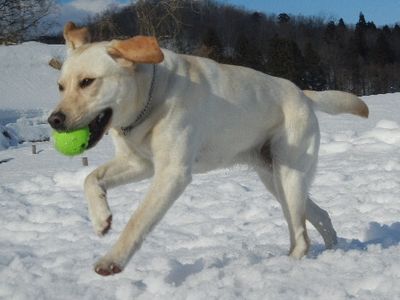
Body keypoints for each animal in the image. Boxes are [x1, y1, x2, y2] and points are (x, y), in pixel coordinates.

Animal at [47, 22, 368, 276]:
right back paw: (331, 248)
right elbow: (91, 178)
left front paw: (112, 260)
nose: (54, 120)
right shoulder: (138, 163)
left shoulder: (172, 173)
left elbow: (138, 221)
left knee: (301, 236)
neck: (151, 97)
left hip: (289, 176)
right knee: (319, 215)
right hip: (275, 179)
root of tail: (303, 93)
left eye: (87, 82)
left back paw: (288, 264)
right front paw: (101, 218)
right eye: (60, 86)